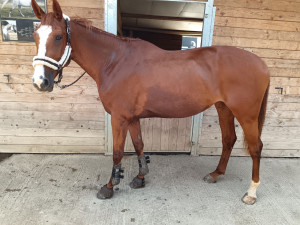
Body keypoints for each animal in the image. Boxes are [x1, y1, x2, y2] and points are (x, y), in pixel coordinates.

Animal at [30, 0, 270, 204]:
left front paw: (109, 187)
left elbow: (118, 152)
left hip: (246, 114)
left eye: (58, 37)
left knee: (256, 146)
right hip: (224, 108)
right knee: (229, 139)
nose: (40, 82)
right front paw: (140, 177)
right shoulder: (132, 117)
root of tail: (261, 63)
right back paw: (216, 174)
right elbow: (138, 145)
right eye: (35, 36)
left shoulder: (119, 117)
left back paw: (251, 192)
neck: (115, 62)